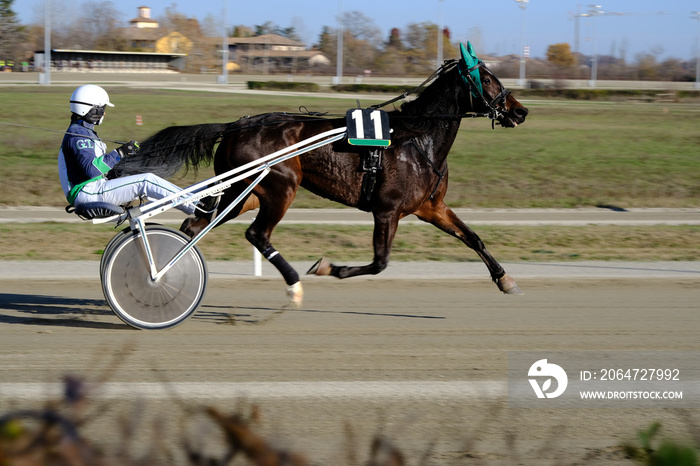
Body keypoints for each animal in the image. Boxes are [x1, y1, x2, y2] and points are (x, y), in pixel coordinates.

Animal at [109, 42, 528, 306]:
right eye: (486, 78)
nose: (520, 110)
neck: (417, 140)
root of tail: (236, 125)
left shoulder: (430, 208)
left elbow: (473, 237)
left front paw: (505, 279)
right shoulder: (387, 211)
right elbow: (379, 263)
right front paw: (328, 267)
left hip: (245, 193)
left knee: (197, 226)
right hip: (281, 186)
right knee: (256, 234)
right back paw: (292, 284)